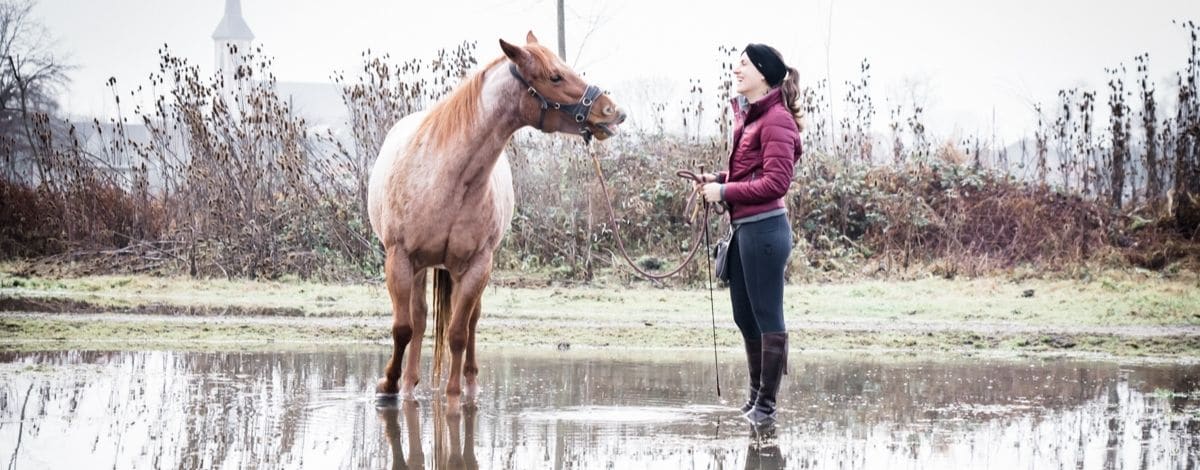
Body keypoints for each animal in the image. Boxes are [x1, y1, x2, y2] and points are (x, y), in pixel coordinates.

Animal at [364, 31, 628, 410]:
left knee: (469, 321)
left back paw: (467, 384)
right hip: (420, 268)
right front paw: (387, 386)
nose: (613, 111)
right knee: (418, 317)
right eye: (555, 76)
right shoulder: (400, 258)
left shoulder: (477, 265)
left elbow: (459, 333)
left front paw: (455, 396)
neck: (448, 177)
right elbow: (403, 327)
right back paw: (410, 384)